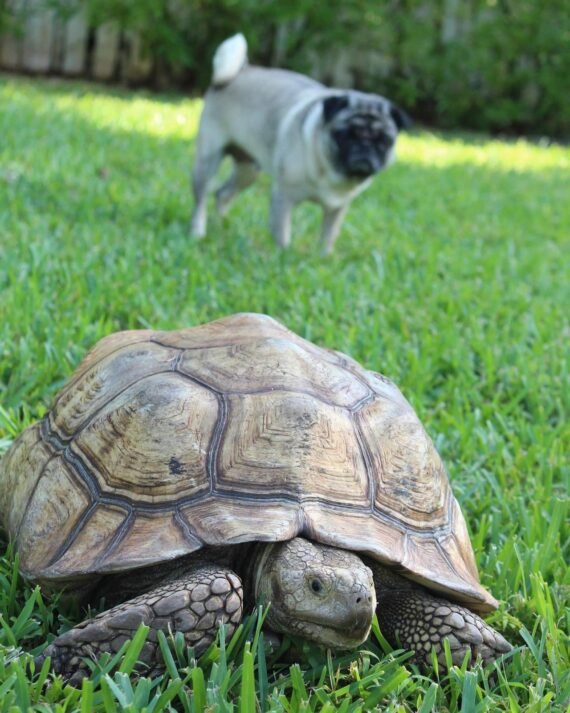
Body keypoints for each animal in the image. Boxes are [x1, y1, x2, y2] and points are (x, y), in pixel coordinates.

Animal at [190, 34, 408, 256]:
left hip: (248, 170)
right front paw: (283, 256)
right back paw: (199, 231)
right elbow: (282, 233)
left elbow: (329, 236)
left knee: (223, 194)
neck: (331, 173)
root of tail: (237, 73)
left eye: (384, 141)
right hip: (208, 160)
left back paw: (221, 225)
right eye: (345, 135)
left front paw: (324, 258)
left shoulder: (337, 209)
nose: (364, 147)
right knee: (202, 199)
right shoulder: (284, 198)